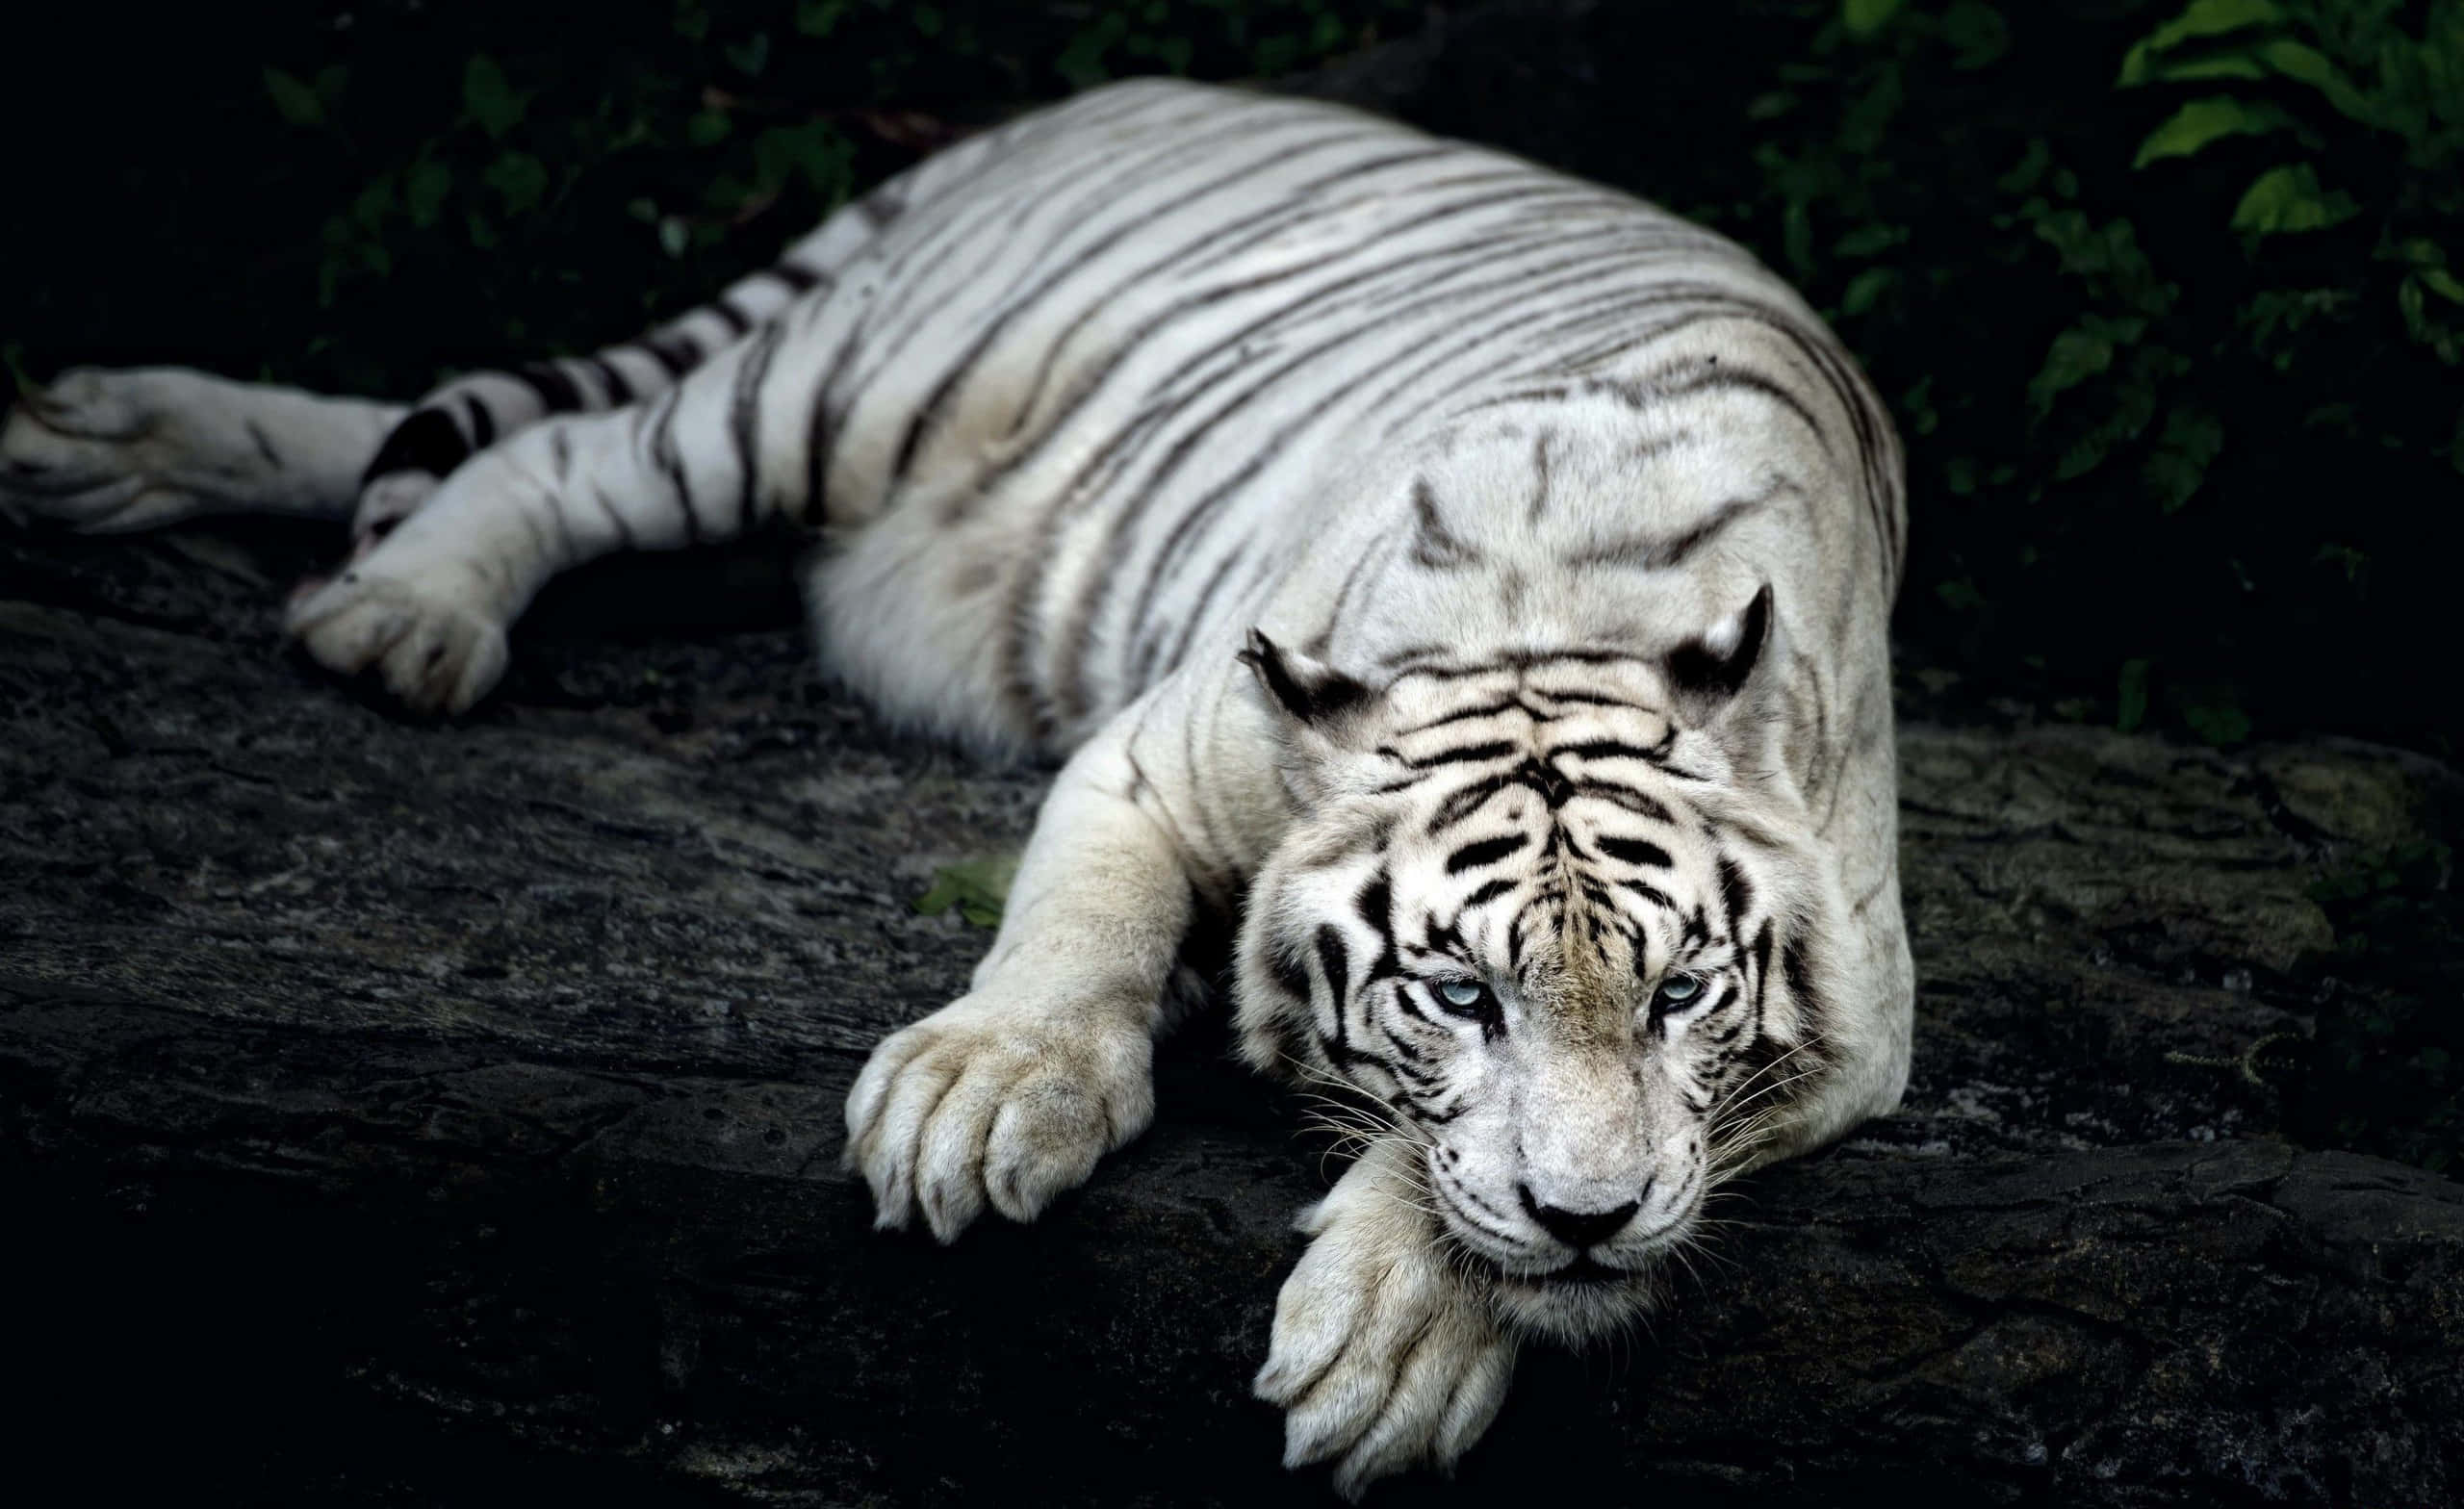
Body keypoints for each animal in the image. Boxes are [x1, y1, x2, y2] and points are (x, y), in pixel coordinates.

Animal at [0, 77, 1912, 1493]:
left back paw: (98, 448)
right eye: (1459, 996)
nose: (1590, 1223)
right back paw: (391, 608)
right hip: (838, 389)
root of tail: (1110, 94)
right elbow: (1072, 938)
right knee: (543, 452)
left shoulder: (1864, 1008)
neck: (1560, 614)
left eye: (1679, 996)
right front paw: (980, 1099)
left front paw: (1401, 1333)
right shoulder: (1151, 751)